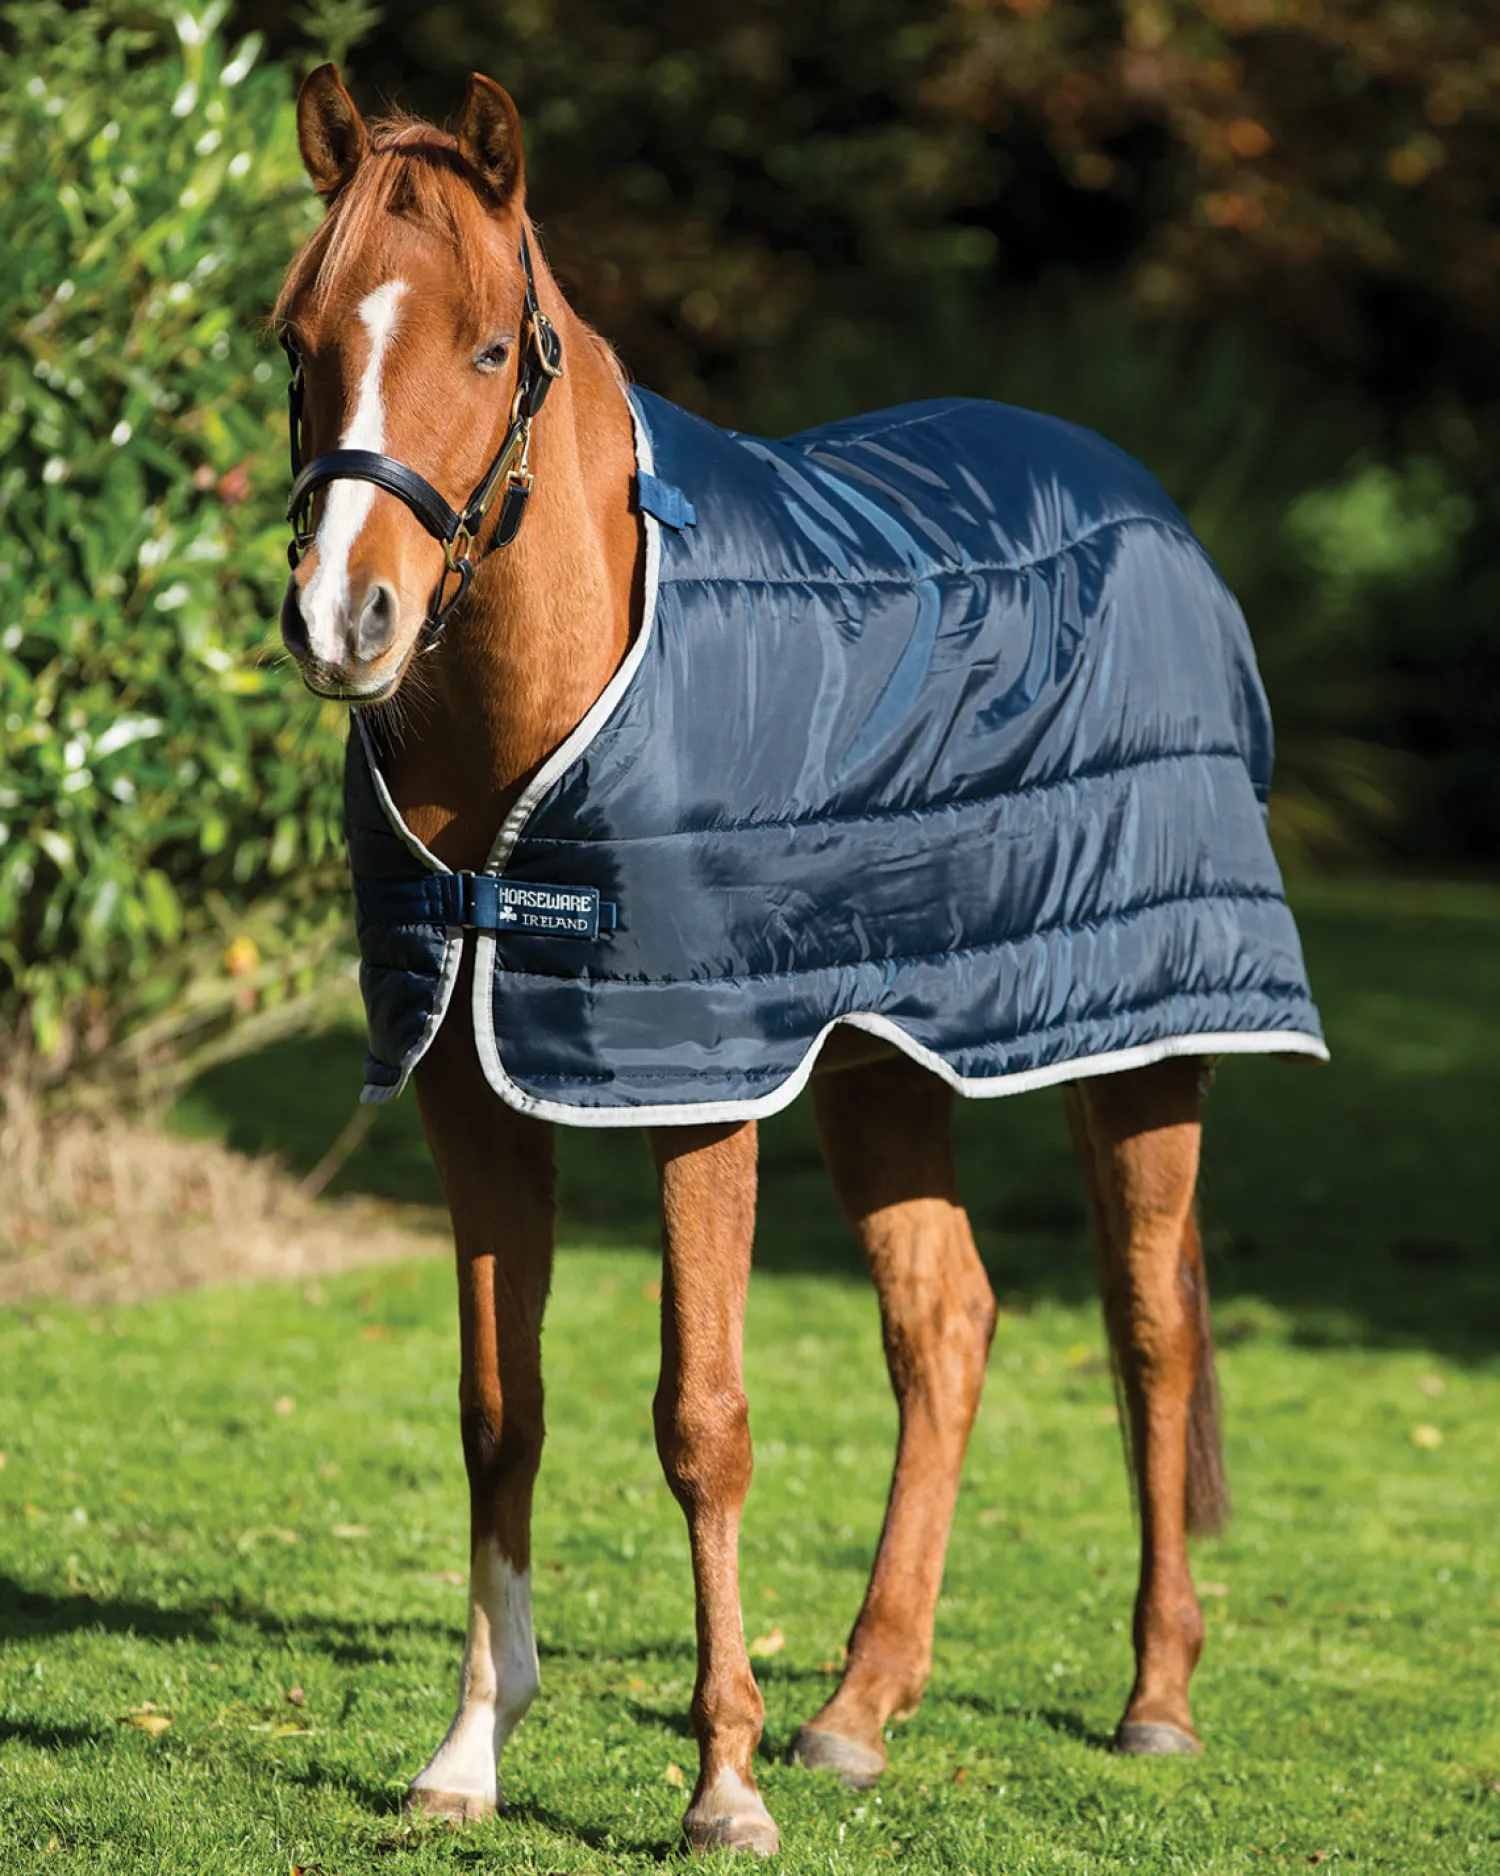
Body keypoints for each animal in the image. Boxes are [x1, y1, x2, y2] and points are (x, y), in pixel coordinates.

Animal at [274, 66, 1324, 1855]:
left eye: (486, 350)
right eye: (299, 342)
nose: (348, 619)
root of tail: (1145, 502)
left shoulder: (698, 1091)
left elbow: (702, 1422)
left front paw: (722, 1788)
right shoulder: (473, 1090)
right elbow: (500, 1412)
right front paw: (468, 1758)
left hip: (1143, 1044)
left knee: (1149, 1334)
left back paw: (1155, 1701)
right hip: (880, 1063)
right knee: (947, 1327)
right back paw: (859, 1709)